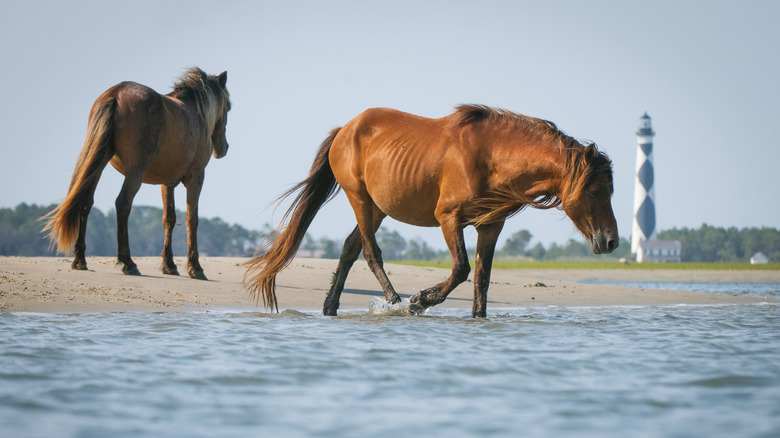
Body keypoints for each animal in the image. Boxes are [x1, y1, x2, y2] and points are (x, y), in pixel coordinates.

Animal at [43, 67, 231, 280]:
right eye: (228, 107)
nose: (223, 148)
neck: (196, 115)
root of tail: (115, 94)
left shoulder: (167, 183)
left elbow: (169, 219)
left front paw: (169, 265)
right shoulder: (196, 177)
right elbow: (192, 219)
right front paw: (195, 267)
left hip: (100, 161)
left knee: (85, 203)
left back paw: (80, 259)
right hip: (135, 171)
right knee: (123, 203)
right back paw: (128, 262)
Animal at [245, 105, 617, 317]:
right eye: (596, 191)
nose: (611, 242)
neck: (491, 156)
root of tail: (345, 129)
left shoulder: (491, 225)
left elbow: (481, 279)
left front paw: (478, 318)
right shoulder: (449, 218)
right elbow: (462, 269)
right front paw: (420, 300)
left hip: (379, 207)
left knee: (350, 248)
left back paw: (330, 307)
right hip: (360, 199)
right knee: (370, 251)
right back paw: (394, 300)